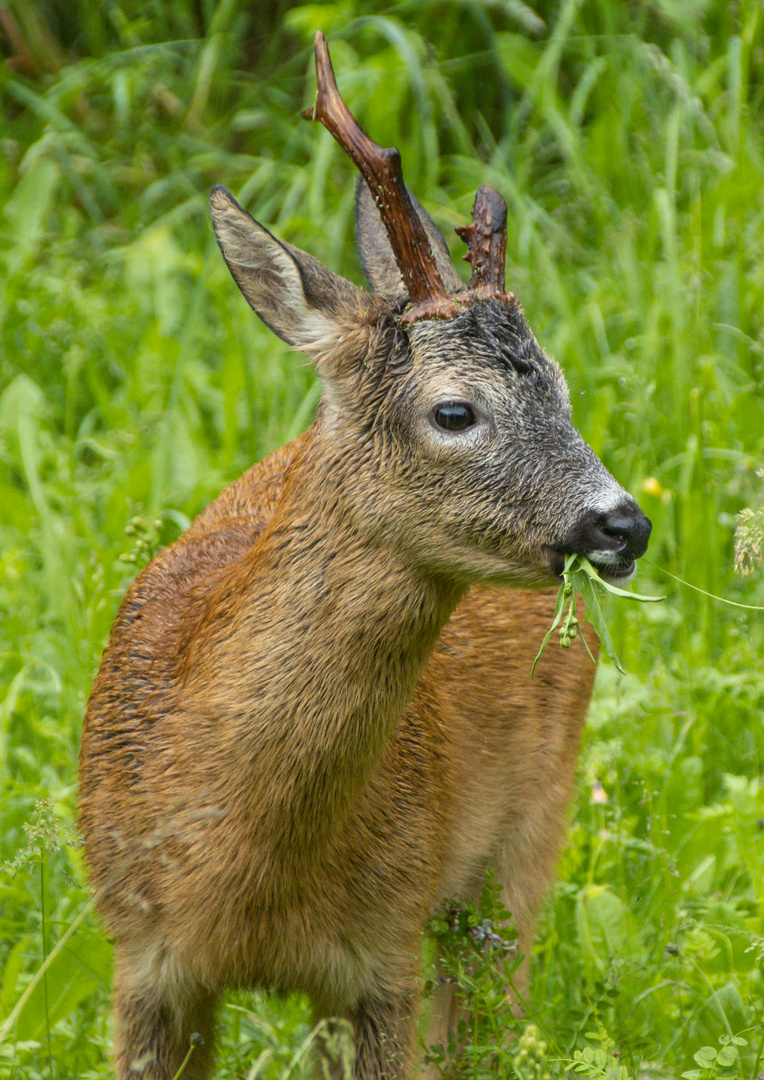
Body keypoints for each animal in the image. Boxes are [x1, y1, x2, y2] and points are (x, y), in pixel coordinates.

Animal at [76, 31, 652, 1080]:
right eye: (456, 411)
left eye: (562, 387)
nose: (622, 526)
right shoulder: (139, 952)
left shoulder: (382, 950)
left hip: (525, 834)